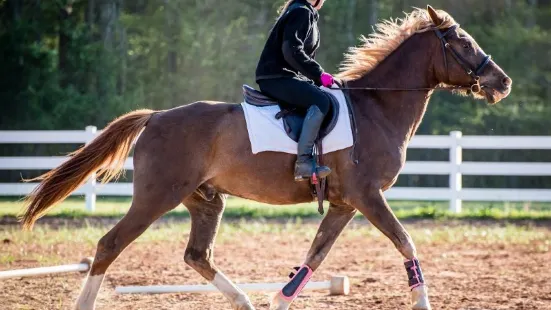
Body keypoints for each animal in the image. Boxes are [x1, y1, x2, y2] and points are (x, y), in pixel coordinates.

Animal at [21, 5, 512, 310]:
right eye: (463, 43)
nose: (502, 82)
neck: (377, 106)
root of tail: (156, 116)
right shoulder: (368, 196)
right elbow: (405, 242)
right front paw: (422, 300)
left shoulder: (344, 204)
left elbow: (317, 254)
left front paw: (279, 299)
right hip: (156, 197)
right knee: (110, 245)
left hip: (206, 200)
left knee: (197, 255)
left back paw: (245, 301)